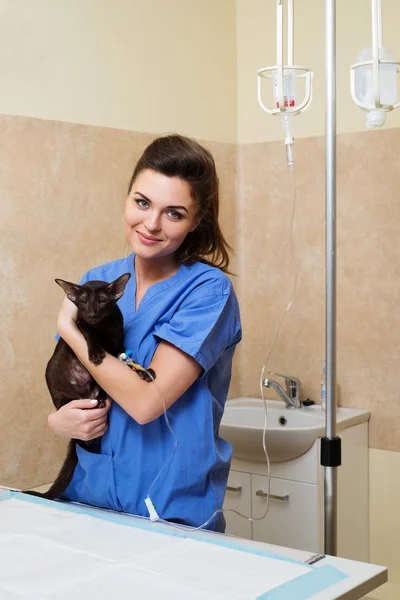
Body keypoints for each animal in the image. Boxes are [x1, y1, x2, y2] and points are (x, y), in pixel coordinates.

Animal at [23, 274, 131, 500]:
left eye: (102, 301)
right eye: (83, 301)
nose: (91, 313)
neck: (105, 326)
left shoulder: (117, 336)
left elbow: (122, 350)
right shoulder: (81, 325)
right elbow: (89, 332)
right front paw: (96, 352)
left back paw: (100, 400)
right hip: (64, 398)